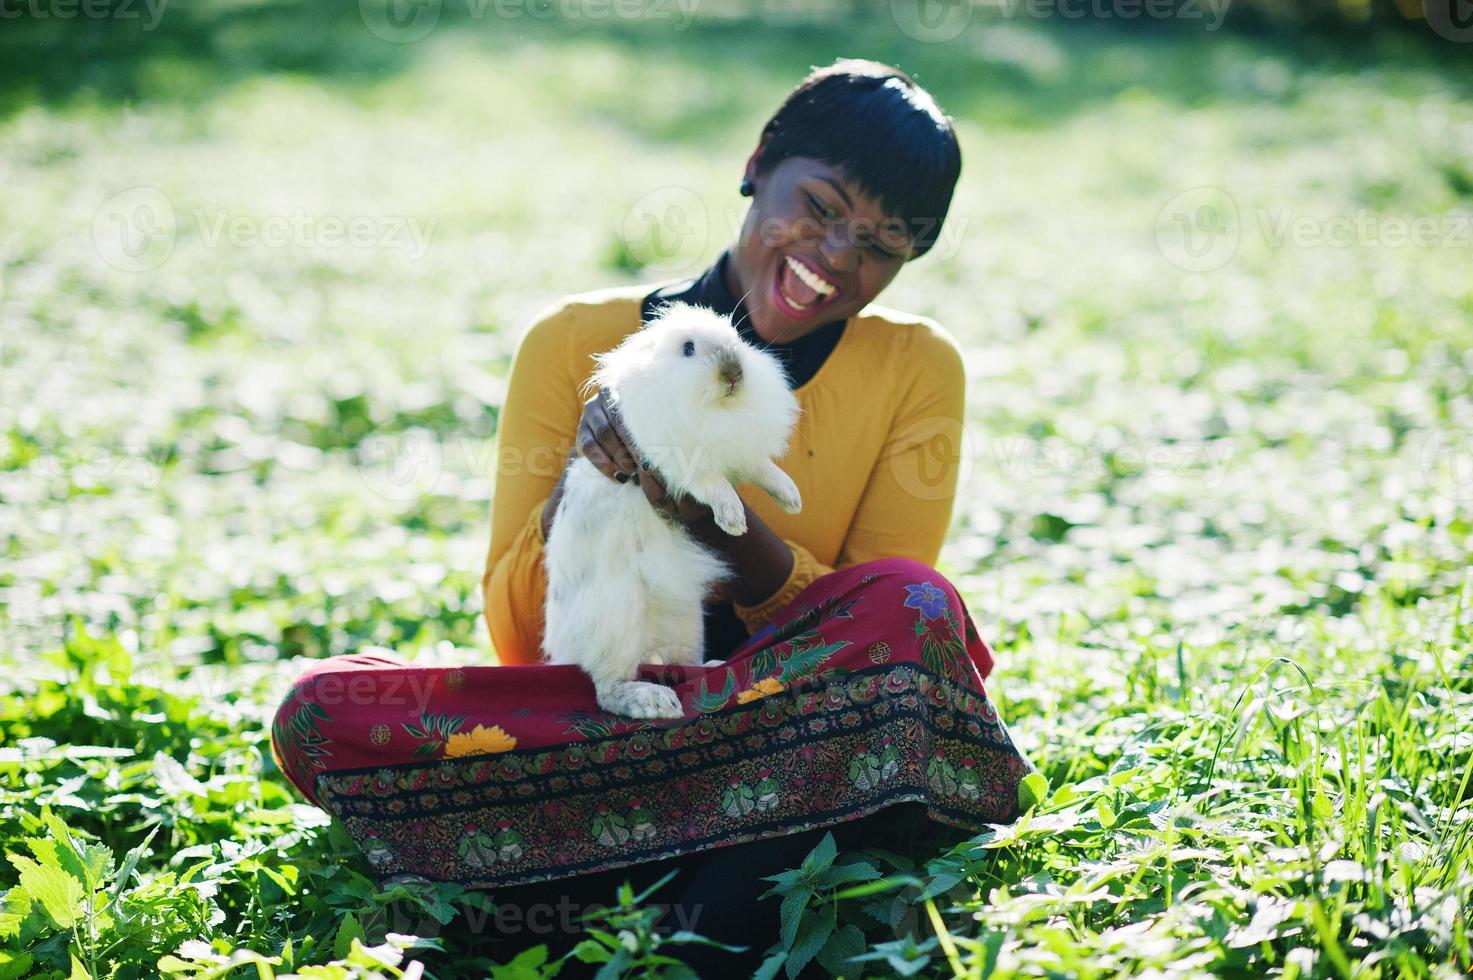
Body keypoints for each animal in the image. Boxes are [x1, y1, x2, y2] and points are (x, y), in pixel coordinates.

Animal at [542, 303, 801, 719]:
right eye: (688, 349)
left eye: (737, 337)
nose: (734, 373)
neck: (715, 409)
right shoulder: (681, 462)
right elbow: (713, 484)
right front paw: (733, 519)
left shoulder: (740, 452)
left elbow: (764, 470)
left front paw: (792, 499)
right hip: (617, 617)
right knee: (606, 688)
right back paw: (655, 701)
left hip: (688, 622)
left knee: (681, 662)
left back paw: (712, 667)